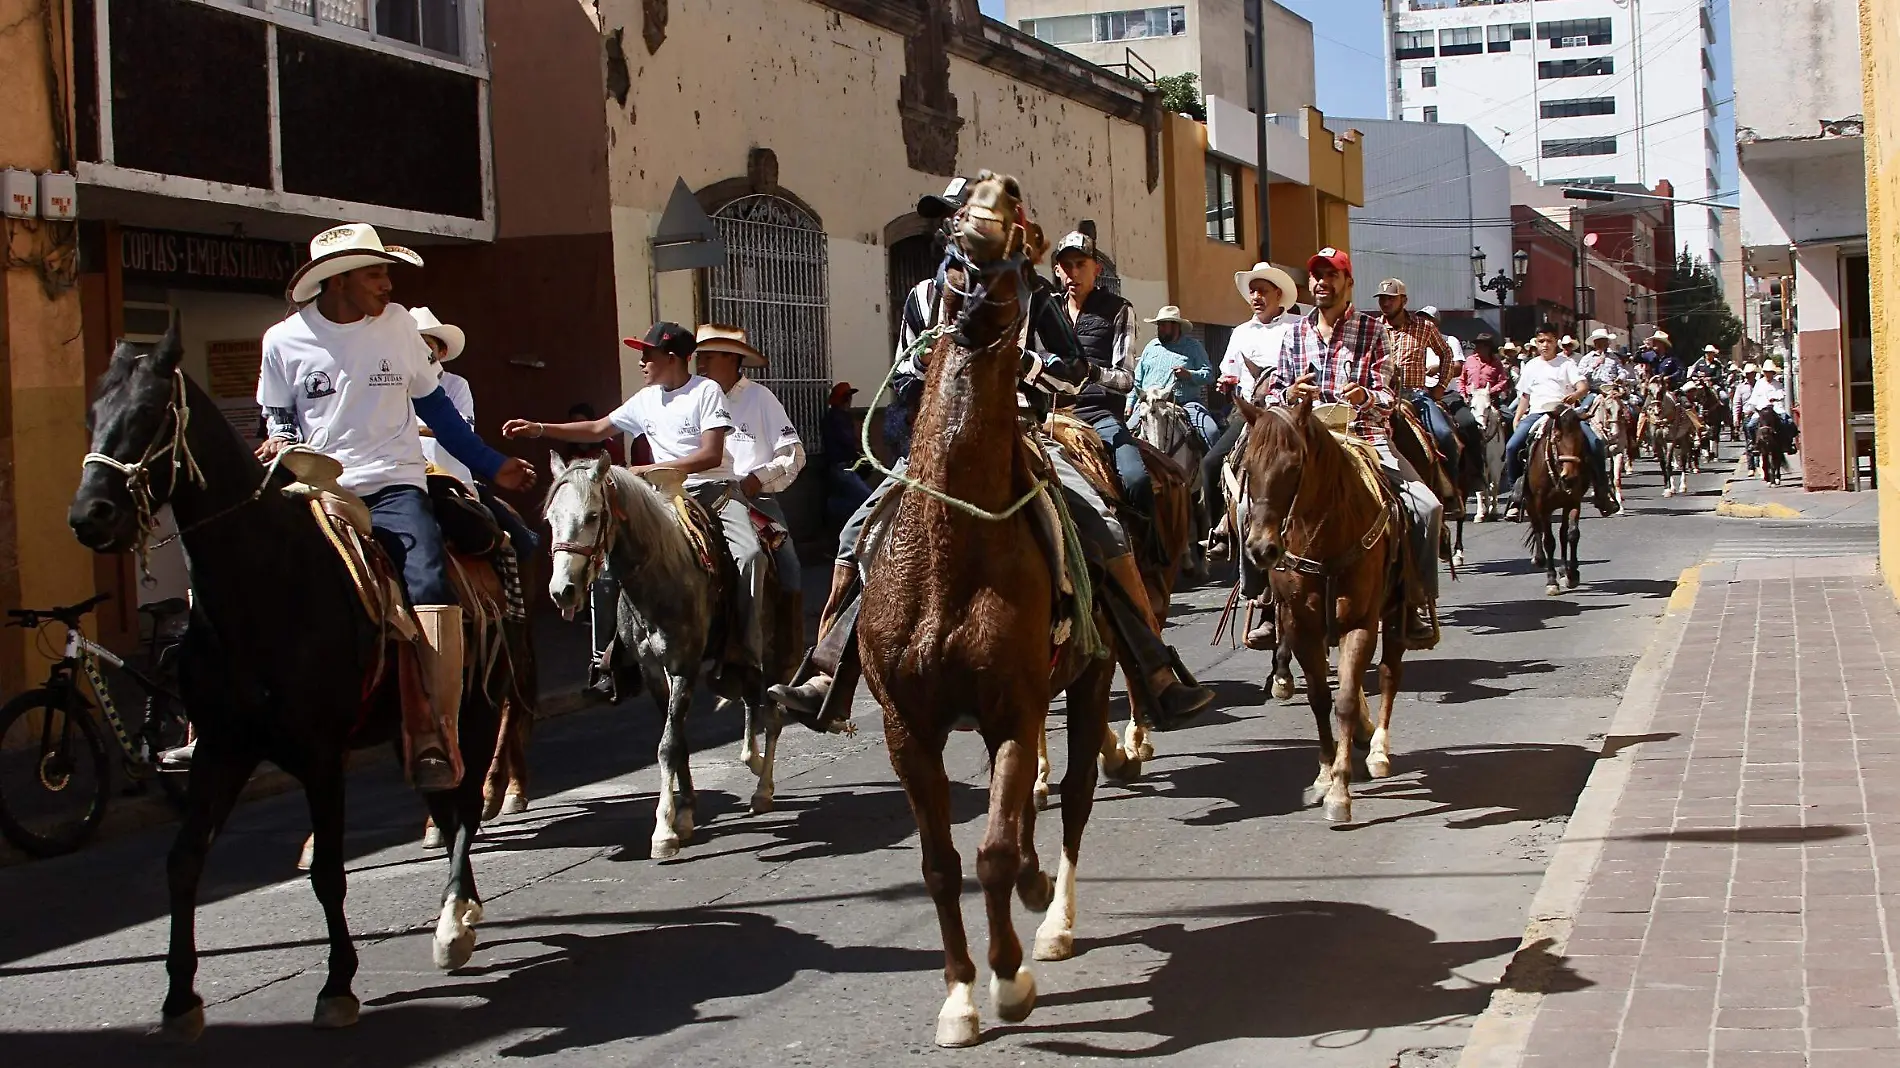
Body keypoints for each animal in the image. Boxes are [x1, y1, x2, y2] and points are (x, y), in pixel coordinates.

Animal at [858, 176, 1109, 1048]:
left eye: (1019, 233)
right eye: (951, 256)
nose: (987, 203)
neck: (948, 551)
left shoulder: (1012, 705)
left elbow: (993, 850)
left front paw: (1008, 980)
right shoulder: (907, 726)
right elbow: (939, 863)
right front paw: (959, 994)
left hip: (1088, 682)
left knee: (1073, 798)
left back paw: (1054, 917)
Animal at [1223, 395, 1406, 817]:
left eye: (1294, 467)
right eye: (1248, 467)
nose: (1261, 548)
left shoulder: (1361, 623)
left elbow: (1345, 702)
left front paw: (1340, 790)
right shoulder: (1302, 626)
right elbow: (1321, 699)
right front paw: (1324, 776)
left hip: (1396, 611)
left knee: (1389, 673)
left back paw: (1379, 750)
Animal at [1527, 402, 1588, 592]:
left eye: (1580, 438)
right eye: (1557, 437)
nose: (1570, 477)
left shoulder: (1573, 501)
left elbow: (1572, 534)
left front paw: (1572, 574)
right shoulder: (1542, 506)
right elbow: (1549, 541)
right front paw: (1551, 580)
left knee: (1562, 533)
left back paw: (1564, 570)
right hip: (1531, 503)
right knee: (1537, 527)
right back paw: (1539, 559)